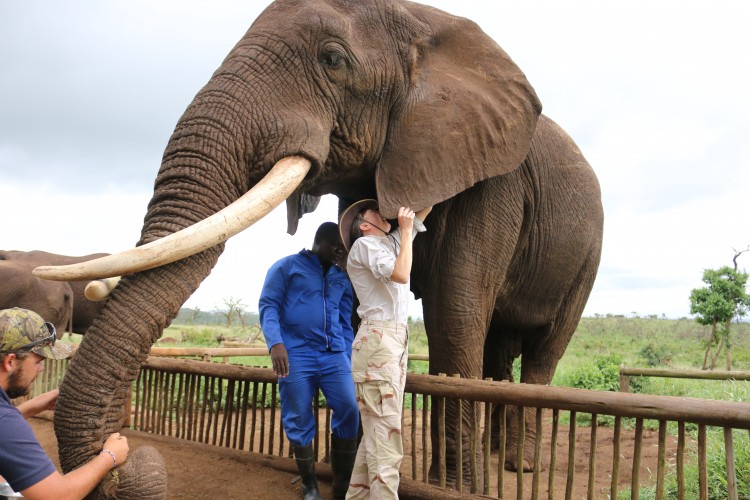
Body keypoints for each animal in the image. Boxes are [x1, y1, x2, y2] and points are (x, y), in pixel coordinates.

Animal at [33, 0, 604, 492]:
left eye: (332, 59)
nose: (123, 462)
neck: (423, 20)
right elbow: (356, 300)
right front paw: (344, 469)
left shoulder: (491, 181)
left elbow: (454, 315)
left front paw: (458, 489)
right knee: (501, 352)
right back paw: (498, 460)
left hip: (588, 254)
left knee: (541, 353)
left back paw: (519, 468)